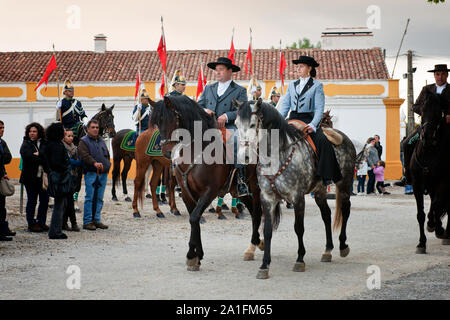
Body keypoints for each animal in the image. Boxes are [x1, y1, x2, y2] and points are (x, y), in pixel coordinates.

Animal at [148, 94, 264, 270]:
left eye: (172, 118)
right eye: (156, 122)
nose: (167, 152)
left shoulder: (210, 191)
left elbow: (195, 217)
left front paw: (192, 255)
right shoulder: (187, 193)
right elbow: (193, 219)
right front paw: (197, 255)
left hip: (255, 188)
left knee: (257, 212)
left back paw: (256, 245)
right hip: (237, 191)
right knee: (252, 210)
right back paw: (253, 246)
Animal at [234, 99, 356, 278]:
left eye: (252, 124)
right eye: (236, 124)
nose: (244, 156)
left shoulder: (297, 197)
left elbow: (299, 228)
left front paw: (300, 259)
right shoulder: (267, 198)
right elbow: (268, 231)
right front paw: (264, 265)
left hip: (344, 184)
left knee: (345, 210)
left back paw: (343, 246)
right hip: (319, 191)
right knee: (326, 215)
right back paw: (327, 250)